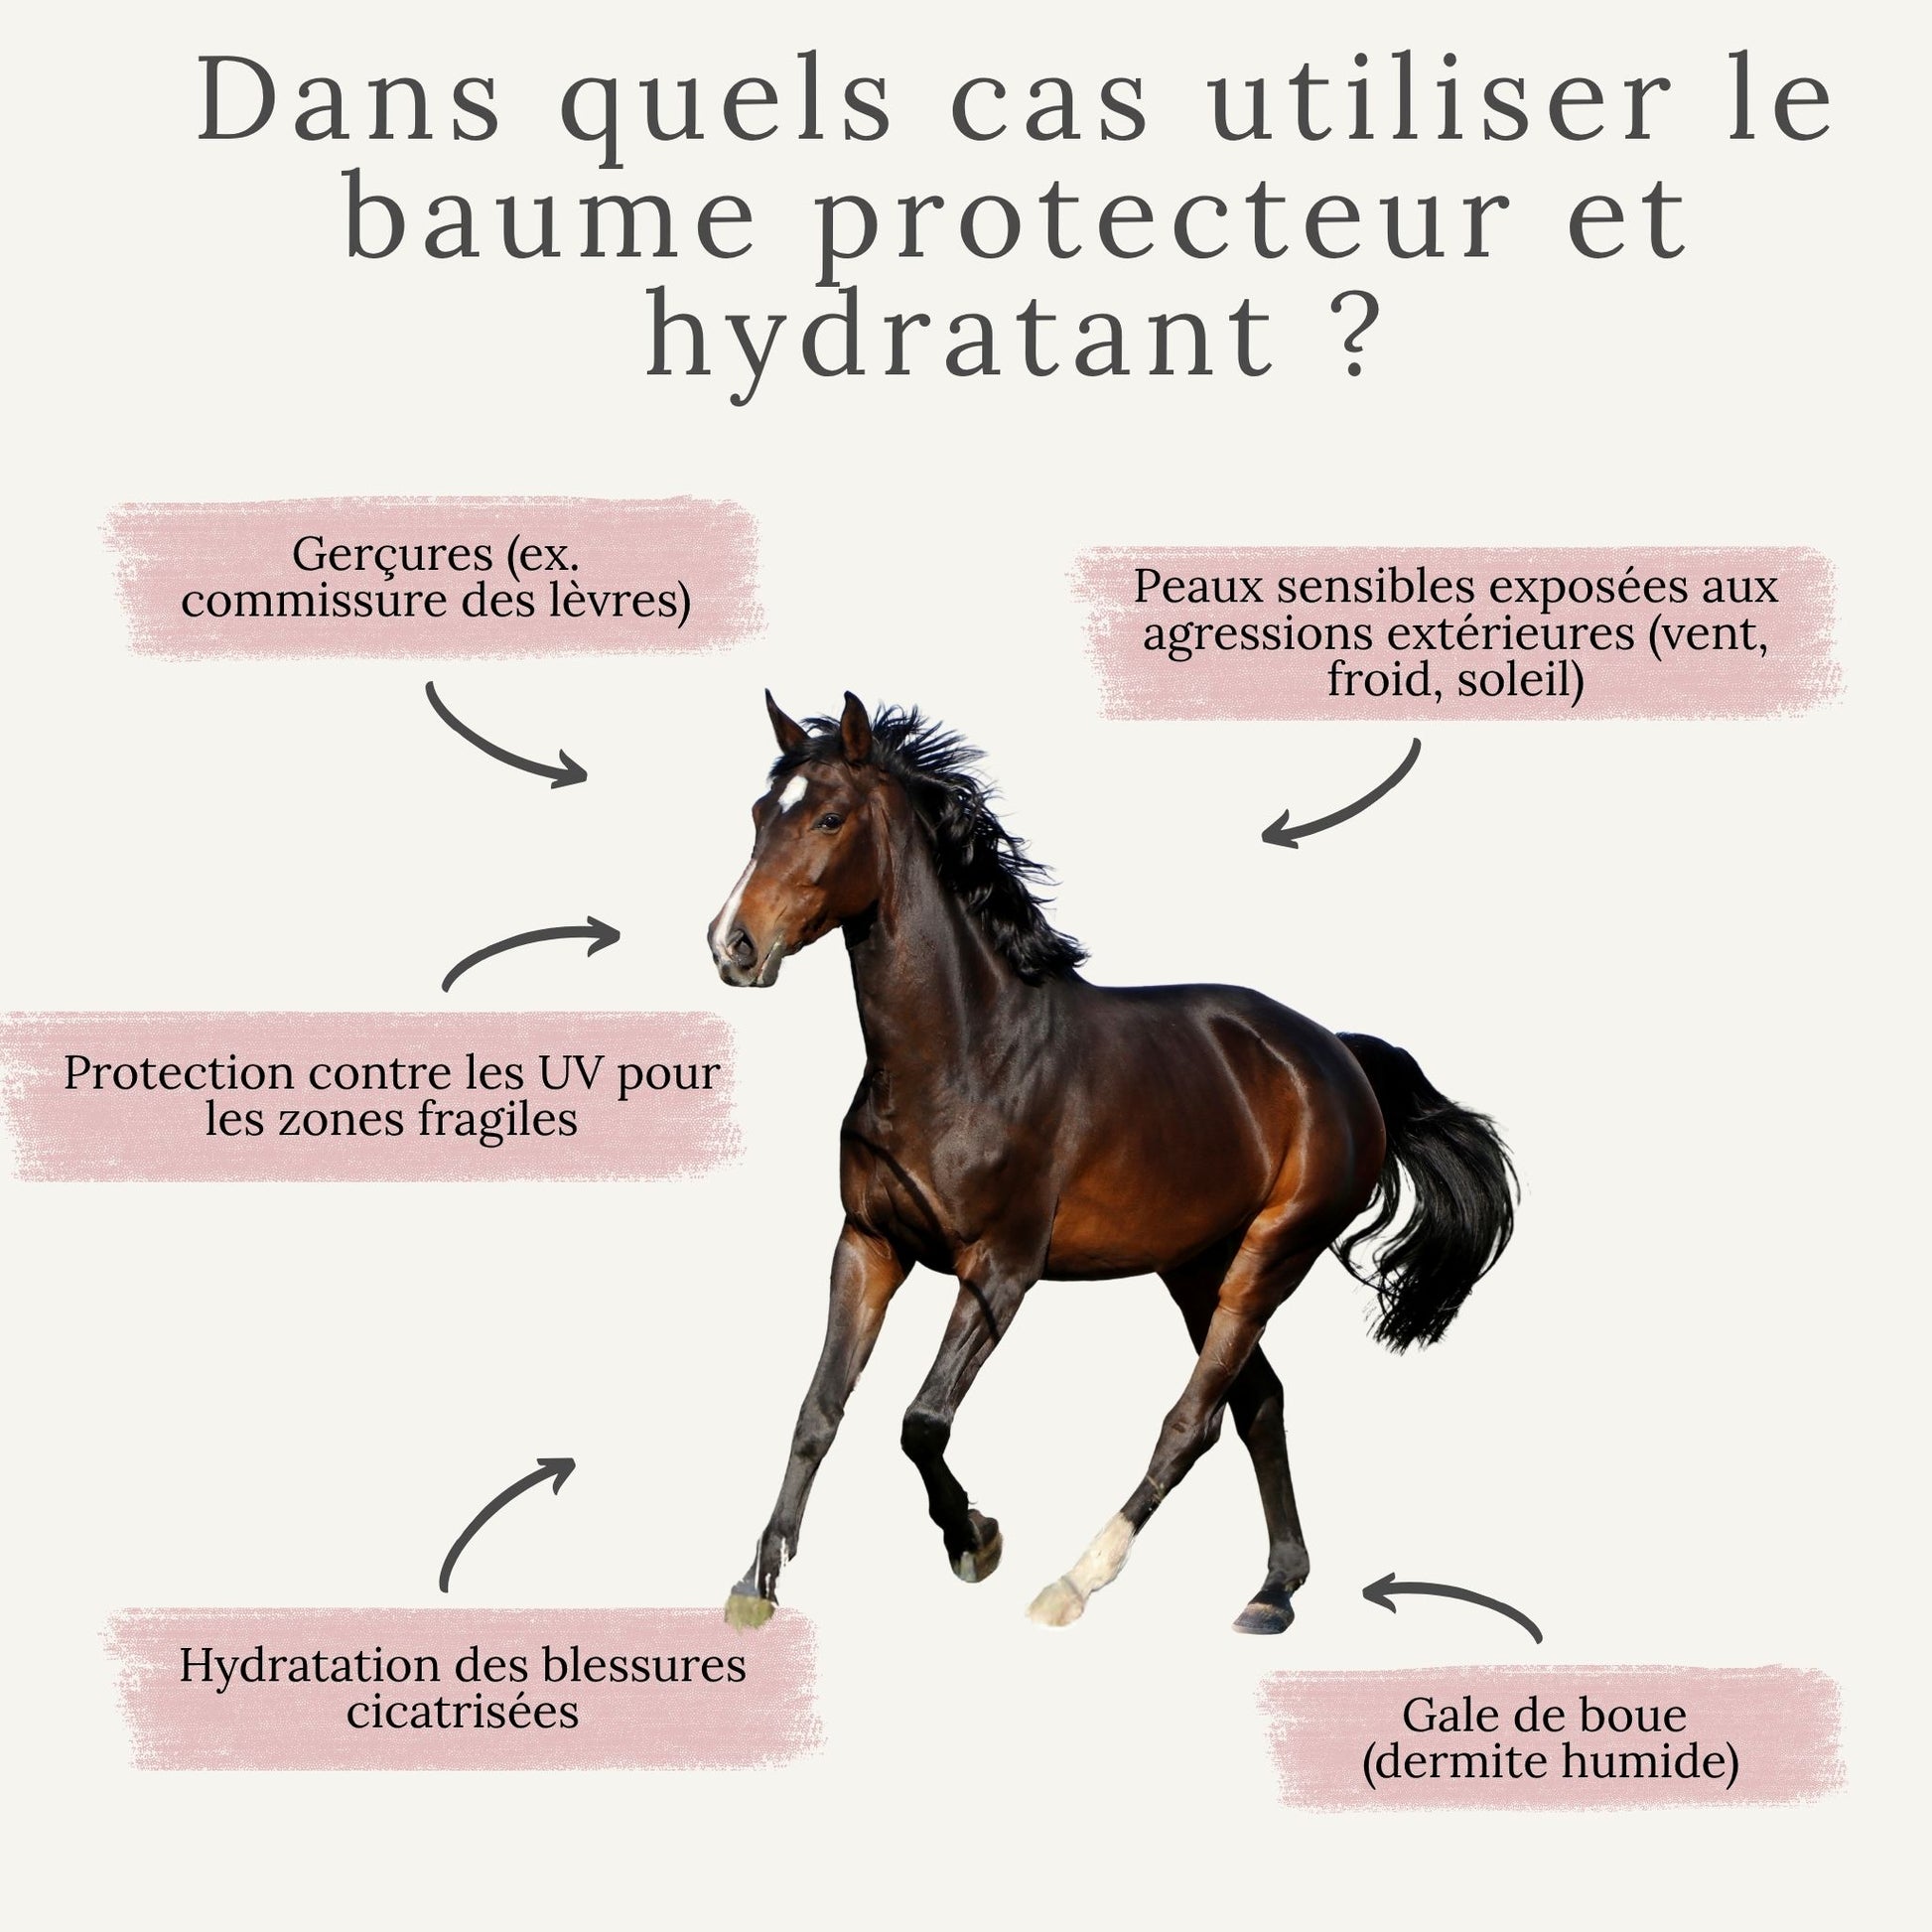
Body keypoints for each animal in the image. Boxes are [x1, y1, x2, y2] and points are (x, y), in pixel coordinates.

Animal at [709, 692, 1515, 1633]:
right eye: (760, 813)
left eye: (829, 818)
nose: (731, 945)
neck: (964, 1055)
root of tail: (1337, 1057)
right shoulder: (869, 1245)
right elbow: (819, 1410)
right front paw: (756, 1583)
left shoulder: (1002, 1268)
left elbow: (922, 1421)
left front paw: (975, 1540)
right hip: (1197, 1267)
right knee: (1260, 1403)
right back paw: (1273, 1591)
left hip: (1269, 1258)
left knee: (1195, 1420)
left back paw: (1074, 1581)